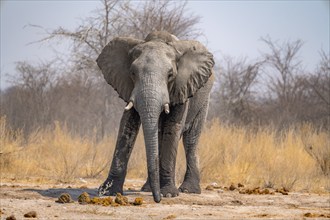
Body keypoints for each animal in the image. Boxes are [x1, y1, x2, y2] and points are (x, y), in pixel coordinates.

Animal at [96, 31, 214, 203]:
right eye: (132, 73)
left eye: (170, 75)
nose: (157, 200)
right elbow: (127, 124)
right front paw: (107, 192)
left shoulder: (182, 86)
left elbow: (173, 127)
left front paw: (168, 194)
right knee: (158, 136)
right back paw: (148, 188)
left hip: (203, 100)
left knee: (190, 140)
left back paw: (188, 190)